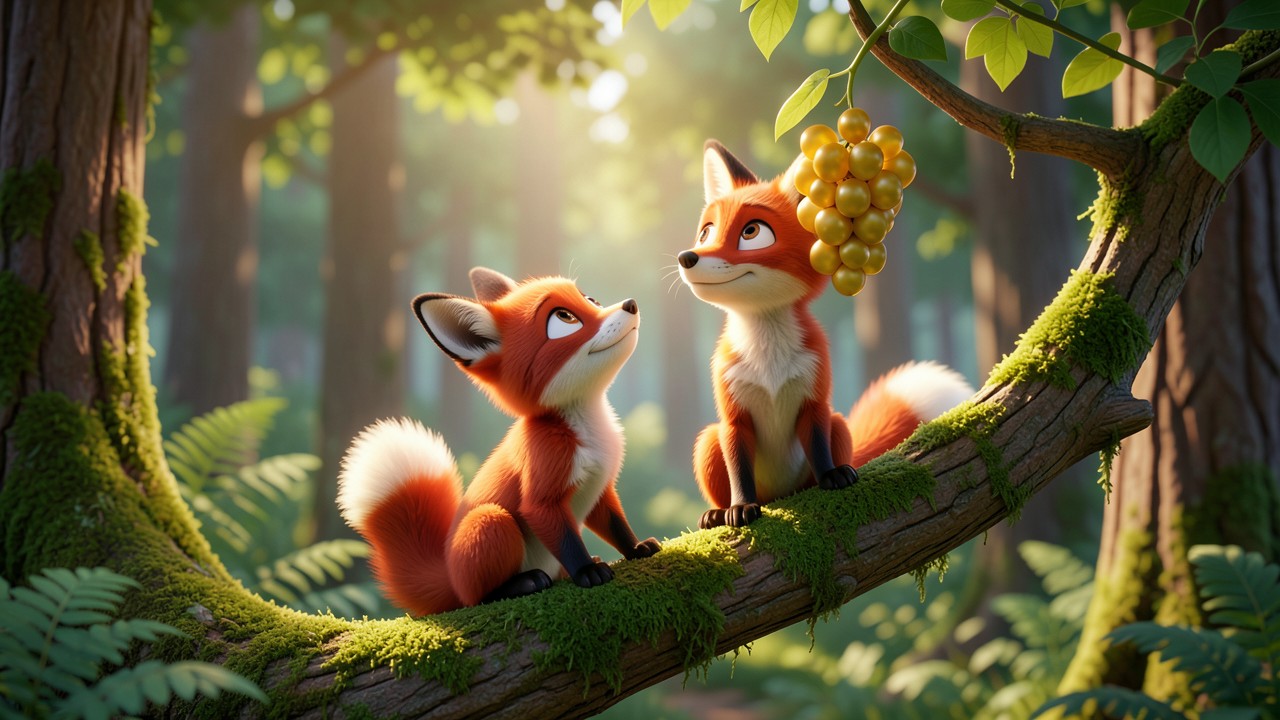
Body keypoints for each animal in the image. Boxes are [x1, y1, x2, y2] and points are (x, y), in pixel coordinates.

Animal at [336, 267, 660, 616]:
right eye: (564, 318)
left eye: (590, 299)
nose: (630, 304)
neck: (586, 429)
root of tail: (449, 574)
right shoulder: (543, 489)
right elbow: (567, 541)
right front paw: (587, 571)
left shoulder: (599, 488)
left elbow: (617, 526)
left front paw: (637, 548)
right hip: (492, 522)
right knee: (476, 598)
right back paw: (523, 583)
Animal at [678, 140, 974, 529]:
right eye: (705, 233)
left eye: (751, 232)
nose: (688, 257)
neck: (770, 363)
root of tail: (780, 495)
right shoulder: (733, 416)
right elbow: (739, 469)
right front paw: (740, 507)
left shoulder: (815, 400)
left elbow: (818, 447)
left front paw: (831, 477)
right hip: (708, 441)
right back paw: (715, 513)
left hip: (839, 426)